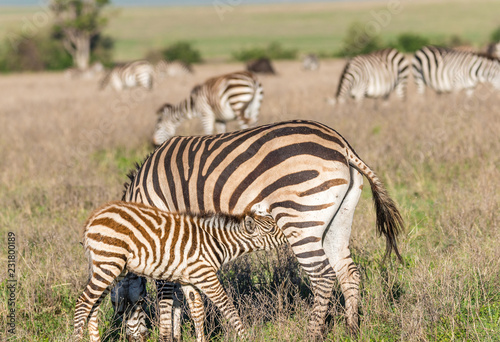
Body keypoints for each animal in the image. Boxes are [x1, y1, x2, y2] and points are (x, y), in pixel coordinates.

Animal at [73, 200, 286, 342]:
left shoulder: (189, 279)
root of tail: (92, 219)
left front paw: (202, 340)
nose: (288, 236)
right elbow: (227, 306)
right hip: (108, 264)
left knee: (93, 306)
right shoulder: (206, 276)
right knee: (84, 303)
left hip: (110, 269)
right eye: (272, 230)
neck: (215, 243)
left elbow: (197, 311)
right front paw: (245, 336)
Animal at [118, 119, 406, 340]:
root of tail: (343, 145)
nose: (132, 338)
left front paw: (168, 336)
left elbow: (167, 291)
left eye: (119, 304)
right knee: (348, 272)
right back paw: (352, 330)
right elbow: (183, 292)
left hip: (299, 217)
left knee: (323, 276)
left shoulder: (166, 236)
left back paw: (311, 335)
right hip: (339, 219)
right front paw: (179, 334)